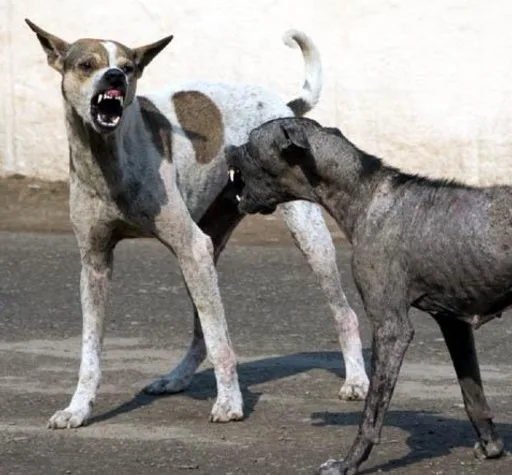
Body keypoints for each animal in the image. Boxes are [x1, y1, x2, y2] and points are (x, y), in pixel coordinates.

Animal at [26, 18, 368, 430]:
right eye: (86, 65)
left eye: (127, 67)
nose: (114, 78)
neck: (109, 160)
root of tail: (284, 107)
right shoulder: (95, 264)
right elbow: (90, 352)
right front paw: (78, 409)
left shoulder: (191, 245)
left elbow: (223, 342)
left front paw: (230, 403)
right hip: (205, 253)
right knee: (203, 330)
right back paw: (177, 377)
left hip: (304, 241)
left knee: (344, 314)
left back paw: (357, 381)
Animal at [226, 116, 506, 475]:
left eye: (250, 141)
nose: (227, 150)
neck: (365, 193)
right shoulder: (454, 325)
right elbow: (473, 396)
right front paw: (491, 445)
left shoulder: (391, 329)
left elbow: (372, 413)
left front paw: (350, 462)